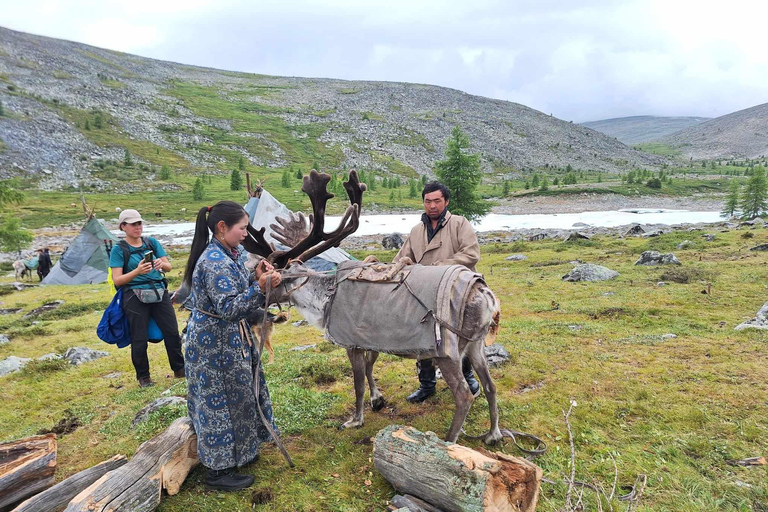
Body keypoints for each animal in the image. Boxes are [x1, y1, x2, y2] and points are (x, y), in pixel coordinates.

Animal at [239, 170, 503, 444]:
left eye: (265, 273)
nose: (253, 297)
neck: (324, 300)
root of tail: (486, 296)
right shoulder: (371, 337)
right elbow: (369, 367)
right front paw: (377, 399)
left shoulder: (351, 343)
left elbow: (358, 383)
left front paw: (355, 419)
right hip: (475, 345)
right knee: (491, 385)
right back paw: (493, 433)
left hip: (448, 353)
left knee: (464, 393)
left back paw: (449, 440)